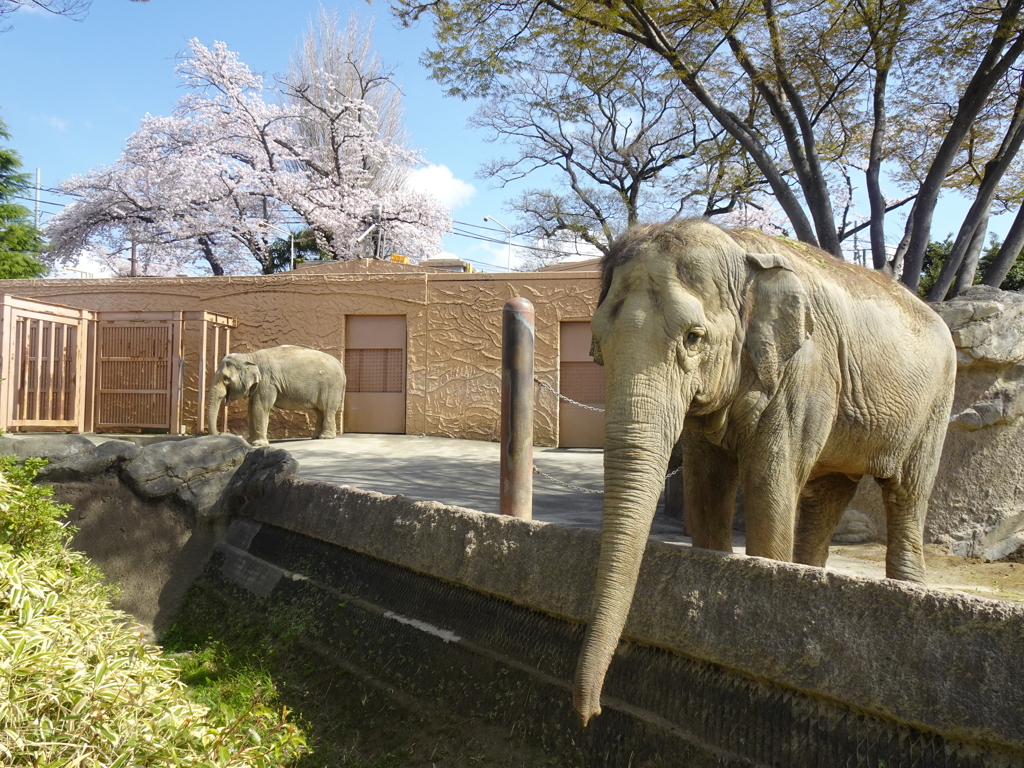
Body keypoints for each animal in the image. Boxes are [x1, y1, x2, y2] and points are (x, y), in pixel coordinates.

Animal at [206, 346, 348, 448]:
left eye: (226, 379)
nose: (219, 434)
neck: (250, 357)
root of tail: (341, 366)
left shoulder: (267, 381)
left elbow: (260, 407)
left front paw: (258, 444)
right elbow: (250, 408)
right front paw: (250, 442)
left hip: (331, 386)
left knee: (327, 409)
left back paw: (326, 437)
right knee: (319, 411)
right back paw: (316, 437)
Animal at [573, 221, 954, 729]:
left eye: (693, 337)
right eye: (597, 346)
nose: (590, 714)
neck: (738, 246)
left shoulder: (806, 369)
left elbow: (769, 484)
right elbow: (706, 485)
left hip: (935, 404)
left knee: (907, 492)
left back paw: (906, 586)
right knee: (827, 493)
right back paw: (810, 576)